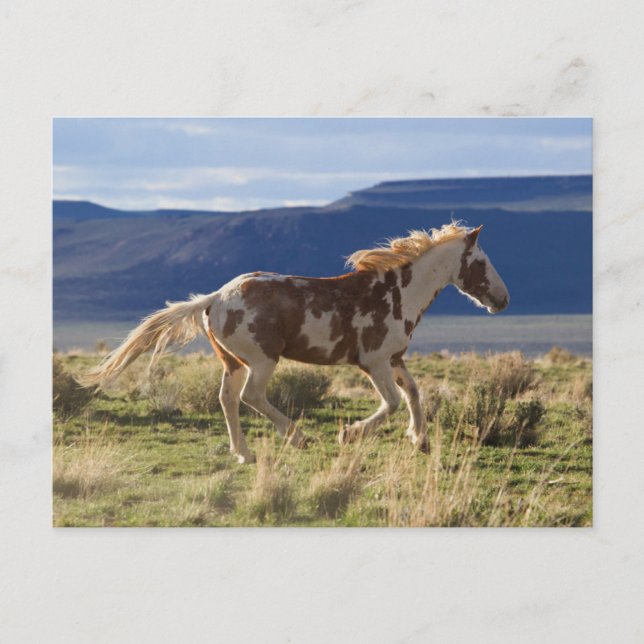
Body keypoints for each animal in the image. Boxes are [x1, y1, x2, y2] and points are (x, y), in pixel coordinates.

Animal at [80, 223, 509, 464]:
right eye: (482, 262)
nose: (503, 300)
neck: (398, 293)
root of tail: (214, 298)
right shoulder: (372, 361)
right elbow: (389, 403)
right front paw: (350, 433)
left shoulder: (395, 359)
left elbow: (415, 394)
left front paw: (418, 439)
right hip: (262, 360)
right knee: (252, 396)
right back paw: (299, 436)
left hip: (233, 362)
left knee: (227, 399)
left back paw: (244, 453)